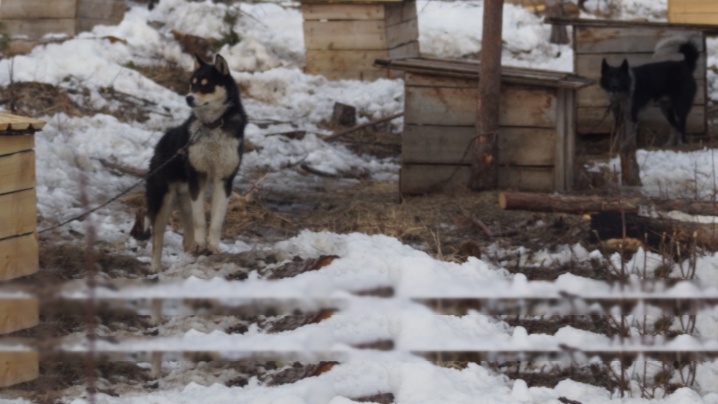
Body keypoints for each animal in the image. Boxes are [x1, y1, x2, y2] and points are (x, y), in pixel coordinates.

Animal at [132, 54, 248, 272]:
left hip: (185, 201)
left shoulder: (224, 180)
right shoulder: (198, 177)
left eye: (206, 85)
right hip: (163, 202)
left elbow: (217, 221)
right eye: (192, 84)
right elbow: (201, 221)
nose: (188, 98)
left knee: (186, 240)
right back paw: (155, 269)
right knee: (157, 240)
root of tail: (160, 144)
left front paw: (213, 247)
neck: (212, 126)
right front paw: (203, 244)